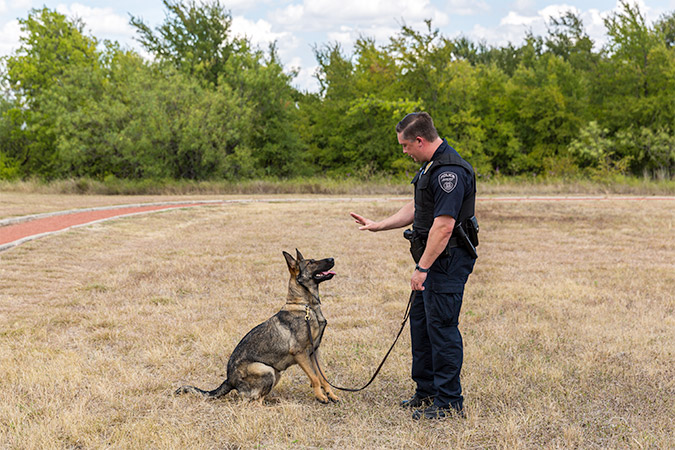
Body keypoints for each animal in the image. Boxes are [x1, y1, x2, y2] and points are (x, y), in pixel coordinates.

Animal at [177, 250, 340, 404]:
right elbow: (315, 378)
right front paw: (320, 396)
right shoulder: (300, 353)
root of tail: (229, 380)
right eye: (311, 262)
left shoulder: (314, 352)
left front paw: (331, 395)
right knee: (253, 401)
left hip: (276, 372)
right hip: (267, 370)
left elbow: (323, 377)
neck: (306, 305)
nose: (332, 258)